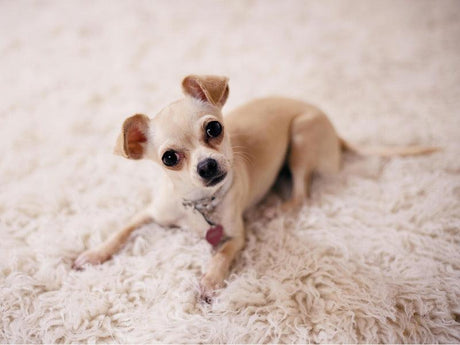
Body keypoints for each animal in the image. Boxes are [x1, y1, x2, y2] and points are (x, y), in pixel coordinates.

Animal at [73, 74, 436, 300]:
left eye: (214, 129)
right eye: (169, 158)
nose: (207, 165)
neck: (198, 204)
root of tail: (335, 134)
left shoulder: (236, 237)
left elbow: (221, 256)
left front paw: (209, 282)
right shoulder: (150, 213)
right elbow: (120, 231)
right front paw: (94, 254)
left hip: (301, 139)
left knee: (301, 193)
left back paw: (279, 207)